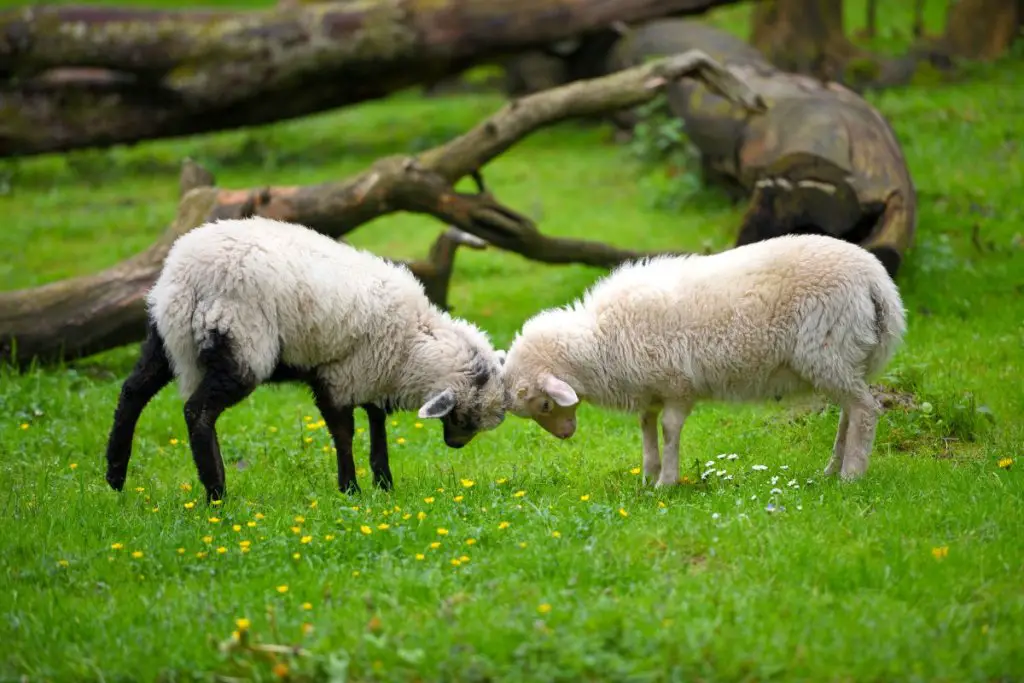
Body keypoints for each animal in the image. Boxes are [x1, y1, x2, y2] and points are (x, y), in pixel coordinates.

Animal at [102, 218, 503, 501]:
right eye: (465, 417)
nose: (454, 446)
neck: (413, 343)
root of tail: (184, 276)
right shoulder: (340, 376)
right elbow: (344, 433)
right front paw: (351, 488)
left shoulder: (371, 374)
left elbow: (377, 425)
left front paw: (384, 481)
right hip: (242, 342)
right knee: (197, 411)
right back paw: (216, 491)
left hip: (164, 334)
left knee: (133, 391)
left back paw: (116, 475)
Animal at [499, 235, 909, 485]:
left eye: (545, 404)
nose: (566, 436)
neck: (600, 342)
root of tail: (878, 284)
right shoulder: (649, 388)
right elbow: (646, 430)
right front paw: (648, 476)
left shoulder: (677, 385)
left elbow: (668, 430)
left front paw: (666, 482)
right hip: (844, 357)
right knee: (850, 411)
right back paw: (832, 470)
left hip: (828, 350)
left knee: (865, 410)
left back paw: (852, 474)